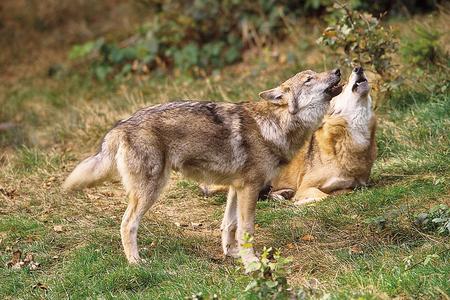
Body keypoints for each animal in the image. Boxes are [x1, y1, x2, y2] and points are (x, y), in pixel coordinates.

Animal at [62, 67, 342, 264]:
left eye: (316, 73)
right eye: (309, 79)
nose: (339, 70)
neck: (273, 125)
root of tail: (120, 126)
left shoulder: (236, 187)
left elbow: (229, 225)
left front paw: (231, 254)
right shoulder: (250, 188)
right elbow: (246, 229)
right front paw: (251, 262)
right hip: (151, 190)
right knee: (126, 224)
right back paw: (135, 262)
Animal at [270, 66, 376, 204]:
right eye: (344, 85)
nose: (358, 68)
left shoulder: (353, 186)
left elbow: (340, 192)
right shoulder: (305, 187)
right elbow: (324, 196)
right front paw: (300, 202)